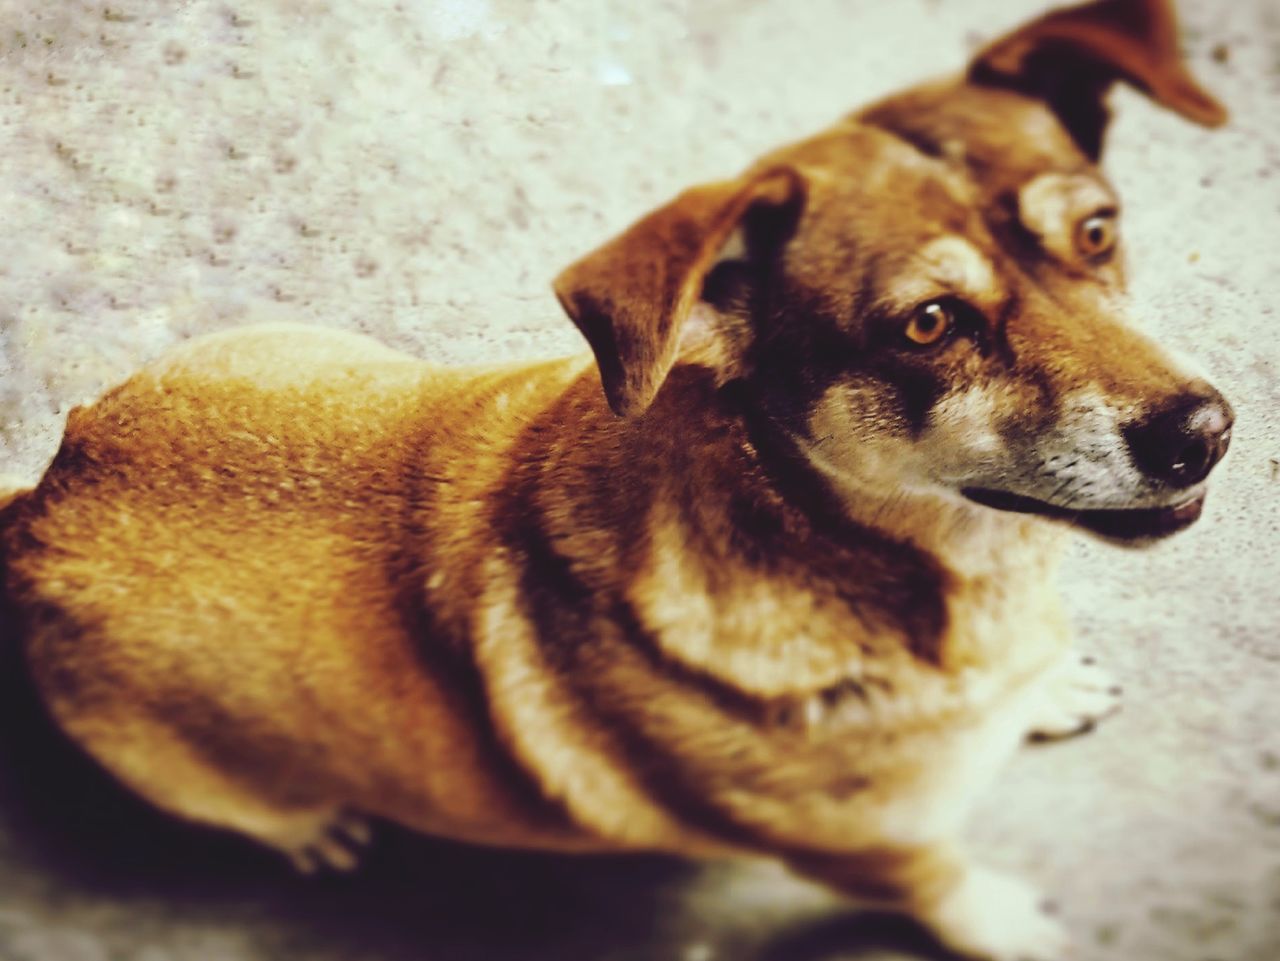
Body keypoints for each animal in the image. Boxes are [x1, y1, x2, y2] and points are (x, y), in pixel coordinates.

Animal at [0, 0, 1233, 957]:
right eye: (927, 324)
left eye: (1096, 230)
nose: (1205, 433)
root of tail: (46, 499)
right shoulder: (870, 857)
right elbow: (943, 885)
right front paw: (1001, 921)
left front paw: (1049, 689)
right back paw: (316, 830)